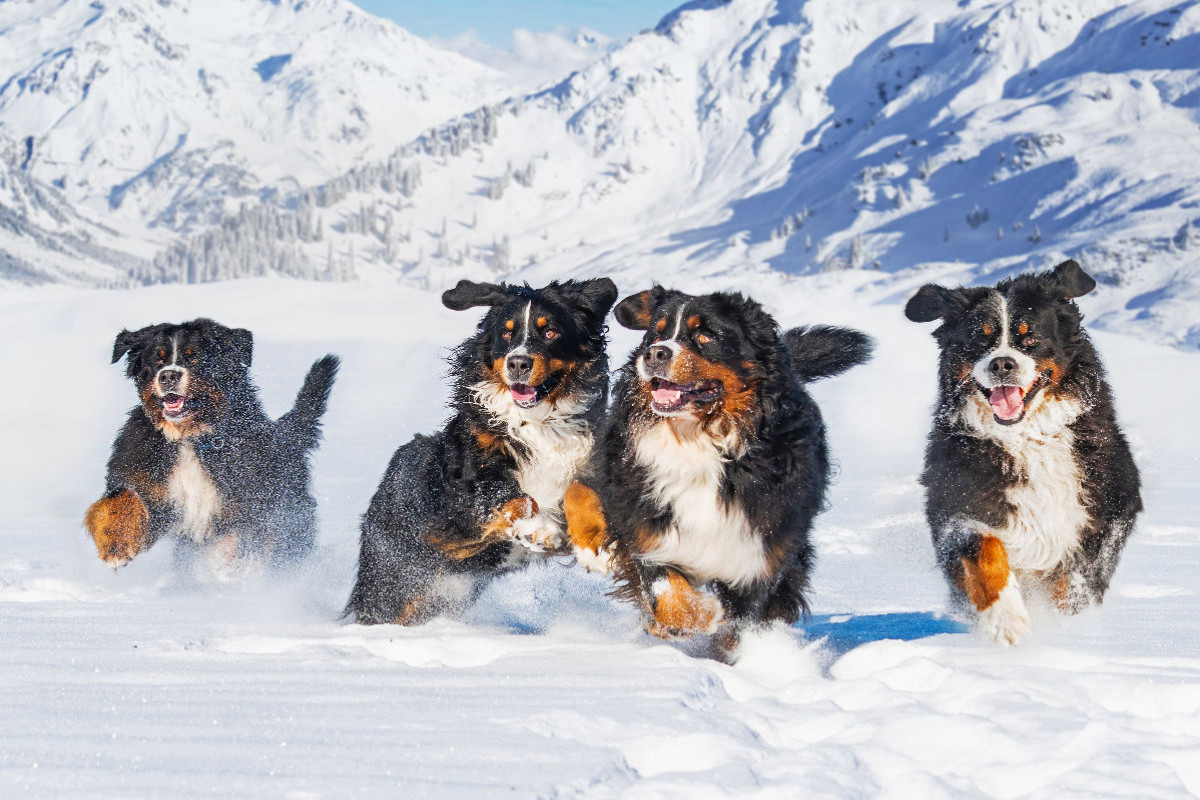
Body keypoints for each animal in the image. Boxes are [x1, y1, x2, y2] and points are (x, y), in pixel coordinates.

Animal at [85, 316, 340, 573]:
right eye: (158, 359)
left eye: (194, 357)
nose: (168, 376)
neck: (188, 436)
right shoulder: (148, 479)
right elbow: (119, 501)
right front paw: (116, 547)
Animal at [343, 278, 614, 628]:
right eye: (507, 333)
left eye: (551, 332)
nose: (518, 363)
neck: (538, 424)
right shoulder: (469, 482)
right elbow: (517, 498)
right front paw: (537, 528)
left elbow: (582, 493)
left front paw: (595, 547)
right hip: (394, 581)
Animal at [561, 291, 873, 652]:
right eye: (656, 334)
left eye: (706, 336)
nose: (654, 353)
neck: (698, 438)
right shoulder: (642, 515)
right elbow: (663, 587)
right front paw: (695, 616)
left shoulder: (759, 554)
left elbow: (737, 628)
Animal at [907, 260, 1142, 647]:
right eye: (980, 339)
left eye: (1030, 338)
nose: (1002, 364)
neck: (1027, 438)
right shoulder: (959, 503)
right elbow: (984, 549)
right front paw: (1005, 618)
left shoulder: (1106, 511)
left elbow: (1074, 584)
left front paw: (1065, 630)